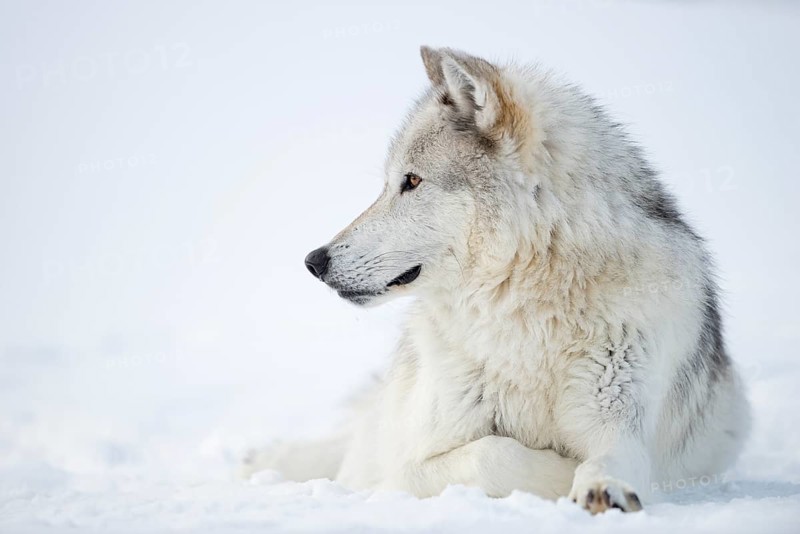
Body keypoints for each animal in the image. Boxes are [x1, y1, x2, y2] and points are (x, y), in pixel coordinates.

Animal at [243, 46, 750, 513]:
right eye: (389, 184)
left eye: (411, 181)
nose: (314, 261)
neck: (529, 316)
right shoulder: (411, 463)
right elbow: (495, 454)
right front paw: (563, 473)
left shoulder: (621, 423)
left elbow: (614, 460)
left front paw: (600, 486)